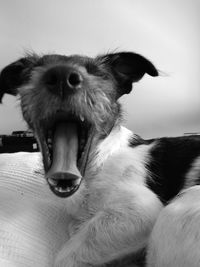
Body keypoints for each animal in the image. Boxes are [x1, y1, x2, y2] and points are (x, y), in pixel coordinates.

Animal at [1, 50, 200, 267]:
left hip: (178, 211)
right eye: (33, 70)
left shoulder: (139, 209)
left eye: (98, 73)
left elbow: (68, 255)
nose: (61, 76)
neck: (99, 161)